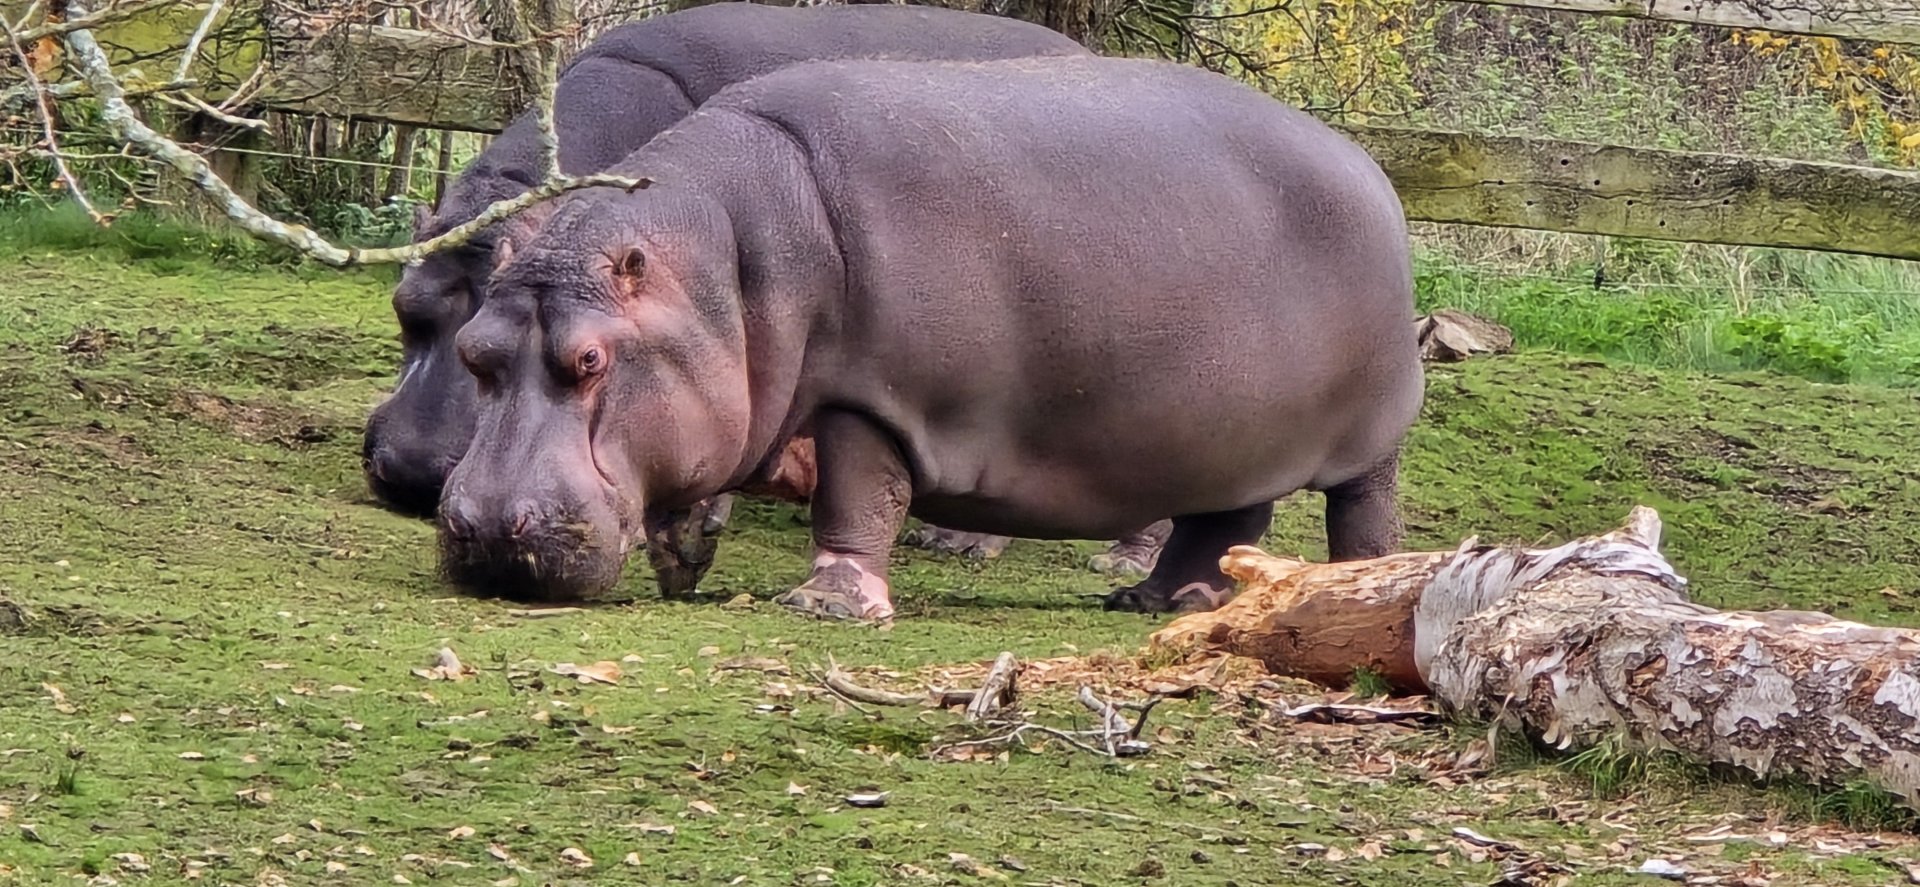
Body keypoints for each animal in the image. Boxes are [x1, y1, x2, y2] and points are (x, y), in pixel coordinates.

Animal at [436, 54, 1423, 620]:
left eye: (589, 358)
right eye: (474, 351)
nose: (483, 530)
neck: (723, 264)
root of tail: (1367, 166)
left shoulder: (870, 397)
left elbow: (859, 498)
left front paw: (826, 606)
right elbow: (697, 480)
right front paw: (685, 558)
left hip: (1367, 435)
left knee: (1361, 509)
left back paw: (1359, 590)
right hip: (1227, 434)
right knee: (1224, 519)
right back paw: (1157, 599)